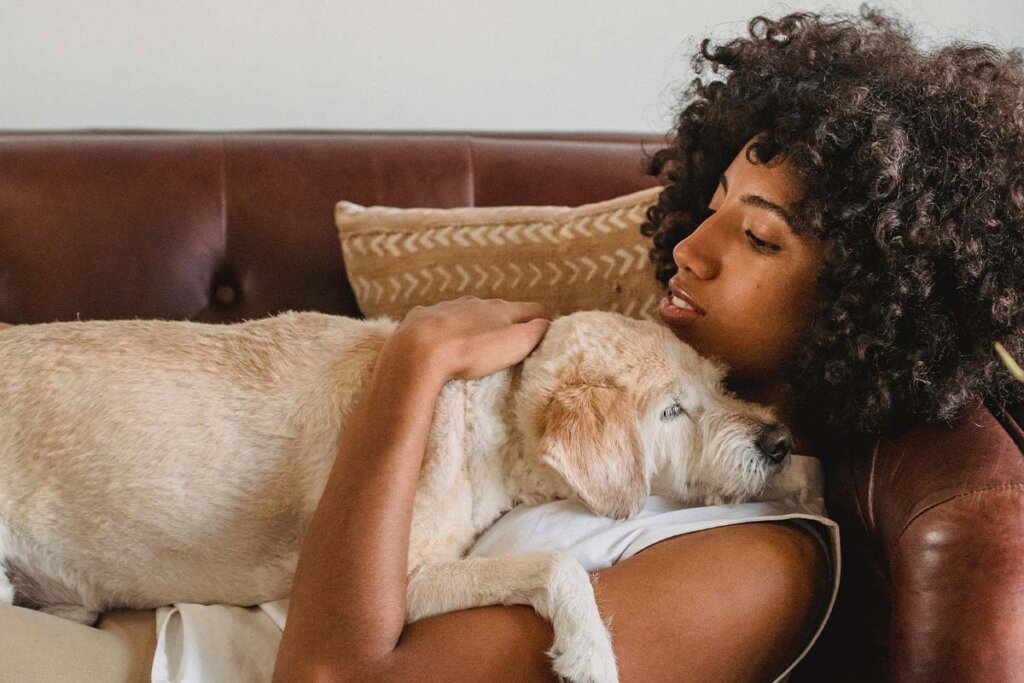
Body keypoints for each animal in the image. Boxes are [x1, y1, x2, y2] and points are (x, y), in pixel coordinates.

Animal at [0, 309, 790, 683]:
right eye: (671, 412)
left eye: (718, 383)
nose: (781, 442)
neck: (492, 409)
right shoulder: (405, 580)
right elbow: (556, 563)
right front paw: (590, 651)